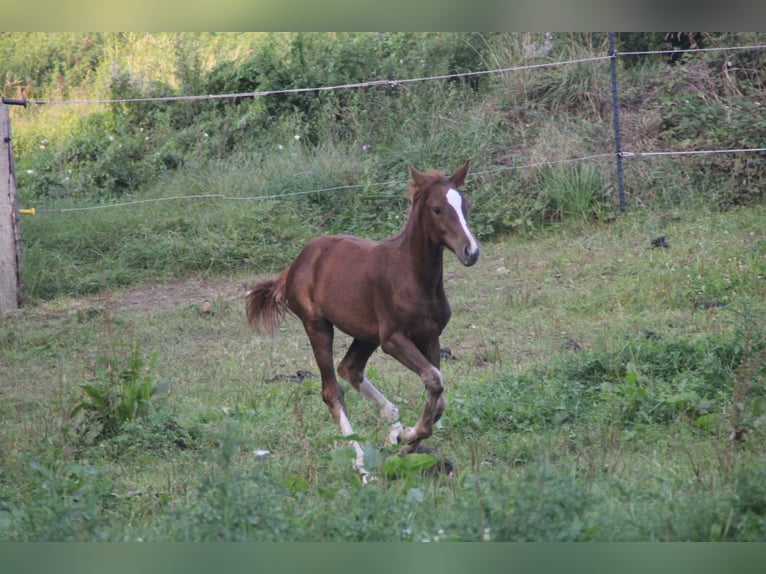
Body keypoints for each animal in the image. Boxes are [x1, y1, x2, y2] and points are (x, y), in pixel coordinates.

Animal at [249, 161, 484, 476]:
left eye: (465, 205)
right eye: (437, 209)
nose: (471, 251)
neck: (411, 275)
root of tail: (295, 264)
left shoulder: (431, 337)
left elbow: (439, 398)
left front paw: (405, 440)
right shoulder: (393, 340)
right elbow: (434, 381)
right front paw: (408, 436)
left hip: (366, 334)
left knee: (349, 369)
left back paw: (390, 429)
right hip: (318, 327)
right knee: (331, 391)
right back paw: (362, 464)